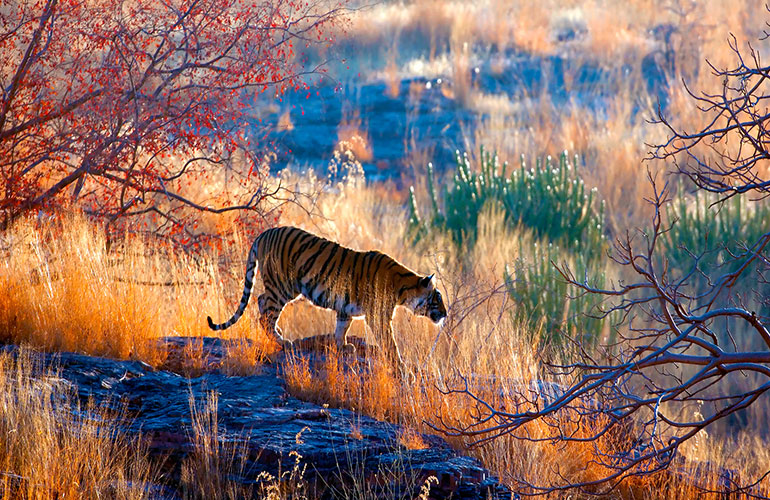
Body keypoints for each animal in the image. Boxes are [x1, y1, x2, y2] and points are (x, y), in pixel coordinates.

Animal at [206, 226, 447, 368]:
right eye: (437, 299)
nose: (445, 314)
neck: (403, 290)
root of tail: (264, 233)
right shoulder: (378, 317)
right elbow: (390, 342)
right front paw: (400, 365)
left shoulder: (345, 309)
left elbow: (341, 328)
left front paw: (343, 347)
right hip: (282, 286)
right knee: (265, 310)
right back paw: (282, 340)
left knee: (260, 302)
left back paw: (279, 333)